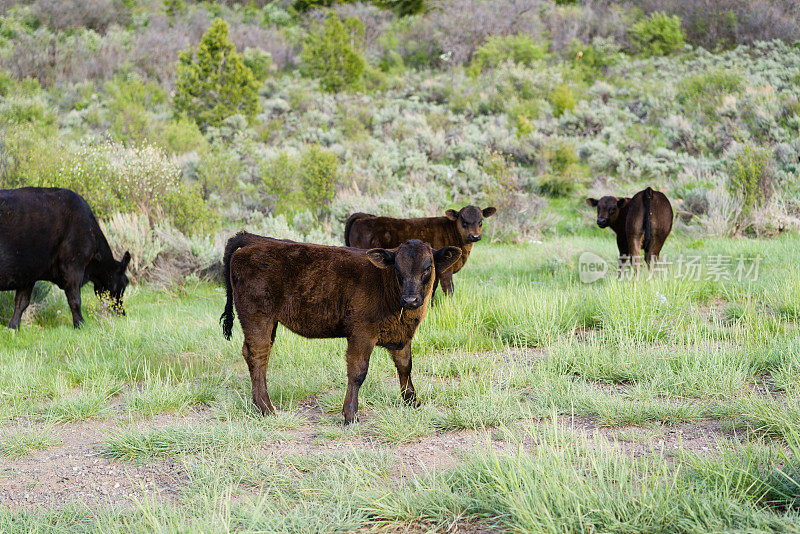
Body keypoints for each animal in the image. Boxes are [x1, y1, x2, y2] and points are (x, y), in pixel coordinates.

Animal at [0, 188, 131, 330]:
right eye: (124, 284)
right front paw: (80, 324)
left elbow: (21, 302)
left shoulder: (28, 273)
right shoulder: (73, 265)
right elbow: (75, 299)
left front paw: (13, 327)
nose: (123, 313)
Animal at [220, 234, 462, 428]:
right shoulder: (361, 333)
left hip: (269, 322)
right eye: (397, 269)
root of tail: (255, 240)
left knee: (251, 352)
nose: (410, 300)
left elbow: (405, 366)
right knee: (258, 355)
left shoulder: (402, 336)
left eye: (428, 267)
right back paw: (266, 408)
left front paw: (411, 401)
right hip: (257, 315)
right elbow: (358, 372)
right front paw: (350, 415)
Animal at [342, 205, 494, 298]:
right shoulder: (446, 271)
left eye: (481, 220)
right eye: (463, 220)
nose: (475, 236)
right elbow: (448, 290)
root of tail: (364, 217)